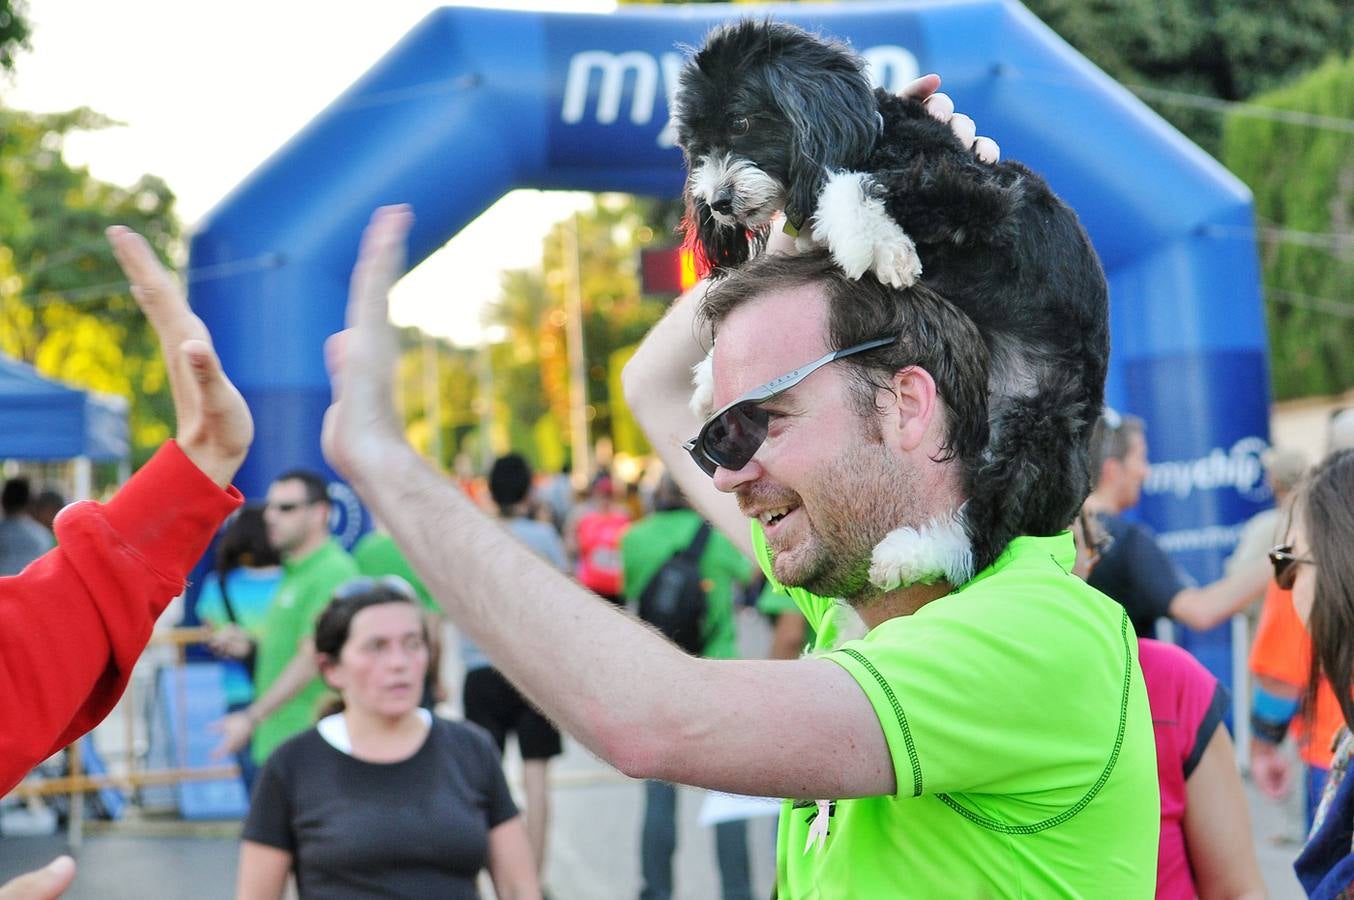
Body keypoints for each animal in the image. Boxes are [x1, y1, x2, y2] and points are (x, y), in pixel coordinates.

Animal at [677, 19, 1110, 581]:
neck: (873, 133)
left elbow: (851, 182)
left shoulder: (980, 198)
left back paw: (909, 553)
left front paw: (873, 241)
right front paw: (709, 375)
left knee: (989, 530)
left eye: (742, 122)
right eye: (695, 147)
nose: (716, 201)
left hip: (1034, 425)